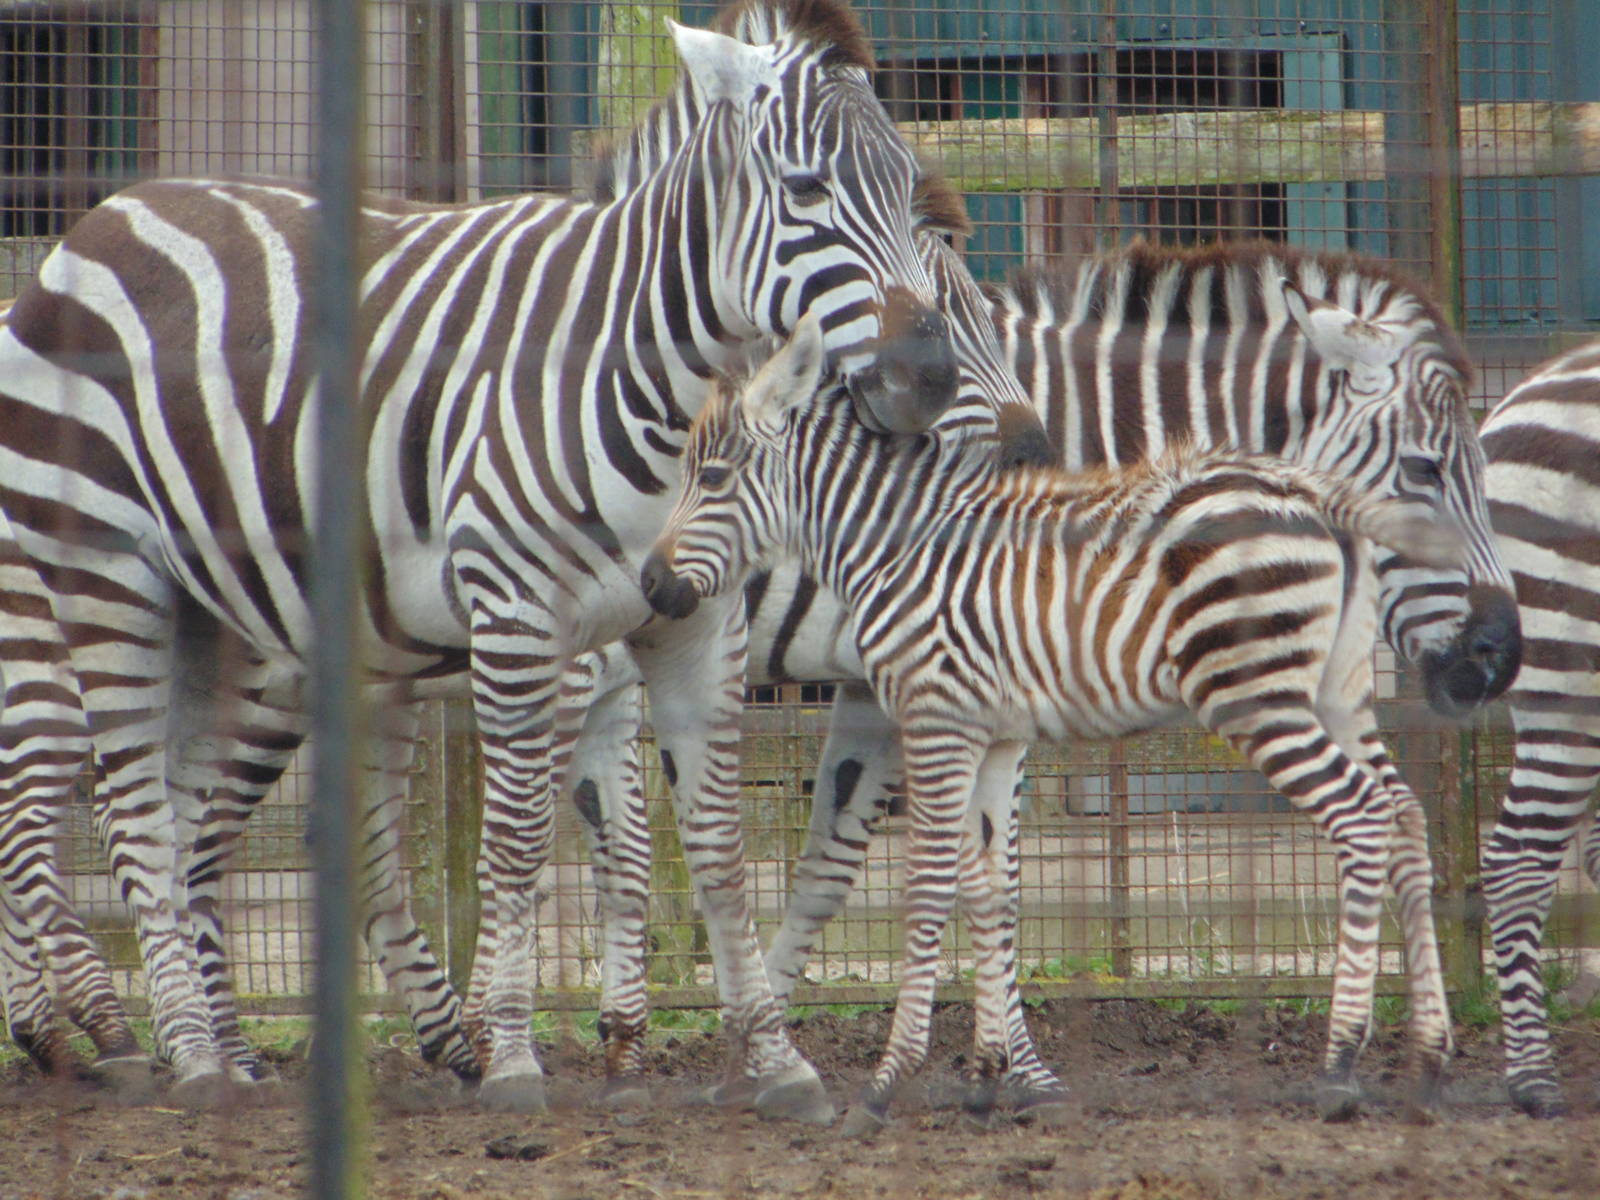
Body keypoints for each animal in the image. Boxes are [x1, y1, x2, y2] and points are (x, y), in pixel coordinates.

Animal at [0, 0, 1062, 1118]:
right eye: (809, 190)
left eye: (905, 186)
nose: (929, 380)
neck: (649, 382)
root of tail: (102, 216)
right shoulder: (519, 624)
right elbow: (519, 840)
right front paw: (512, 1055)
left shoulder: (696, 622)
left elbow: (719, 846)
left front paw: (778, 1061)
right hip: (99, 572)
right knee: (125, 808)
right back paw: (172, 1049)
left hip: (225, 616)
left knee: (191, 812)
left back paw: (215, 1048)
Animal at [642, 313, 1465, 1131]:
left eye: (712, 479)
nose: (650, 583)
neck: (899, 542)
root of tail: (1318, 496)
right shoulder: (995, 732)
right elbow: (989, 890)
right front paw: (987, 1076)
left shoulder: (936, 717)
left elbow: (931, 886)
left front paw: (887, 1083)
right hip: (1335, 692)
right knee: (1404, 813)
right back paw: (1427, 1060)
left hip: (1254, 694)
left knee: (1360, 814)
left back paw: (1339, 1065)